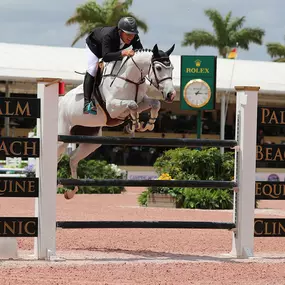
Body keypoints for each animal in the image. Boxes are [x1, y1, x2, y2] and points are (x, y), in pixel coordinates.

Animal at [57, 43, 175, 199]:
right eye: (159, 68)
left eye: (172, 67)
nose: (171, 94)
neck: (131, 78)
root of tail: (60, 101)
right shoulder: (113, 108)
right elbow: (132, 105)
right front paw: (135, 124)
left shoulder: (141, 101)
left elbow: (155, 103)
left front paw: (144, 126)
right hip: (61, 138)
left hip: (91, 140)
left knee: (73, 158)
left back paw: (71, 191)